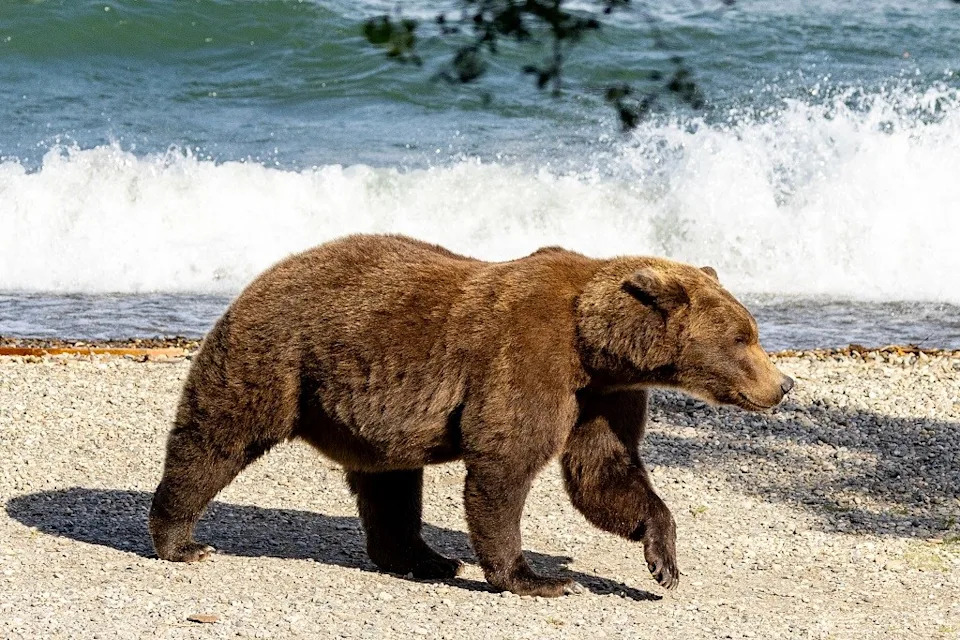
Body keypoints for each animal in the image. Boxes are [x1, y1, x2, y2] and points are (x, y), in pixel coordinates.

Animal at [148, 234, 793, 597]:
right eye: (743, 337)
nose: (783, 384)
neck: (595, 346)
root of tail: (263, 273)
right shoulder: (530, 358)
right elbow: (504, 465)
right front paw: (539, 579)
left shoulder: (604, 397)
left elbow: (603, 472)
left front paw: (663, 562)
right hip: (280, 356)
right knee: (216, 436)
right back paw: (181, 539)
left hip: (369, 413)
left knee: (390, 484)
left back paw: (429, 560)